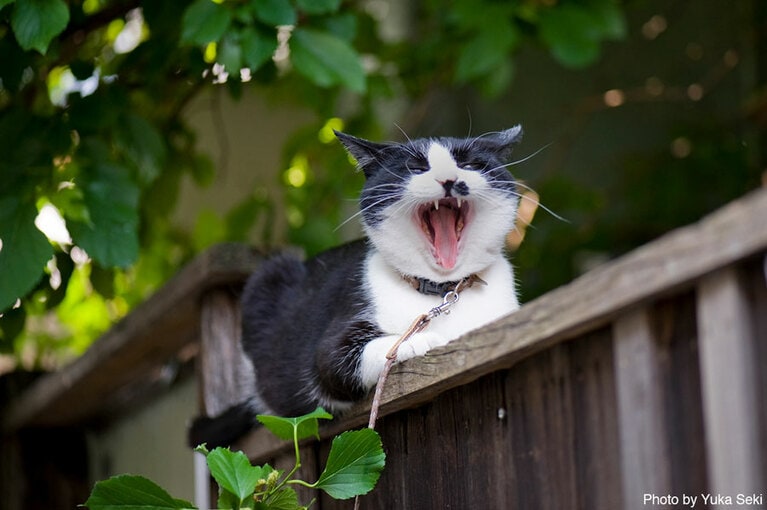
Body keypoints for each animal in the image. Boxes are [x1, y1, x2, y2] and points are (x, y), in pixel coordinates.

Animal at [188, 126, 520, 446]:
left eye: (469, 164)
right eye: (416, 167)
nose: (449, 179)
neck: (443, 288)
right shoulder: (333, 340)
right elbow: (337, 362)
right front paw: (418, 340)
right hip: (268, 276)